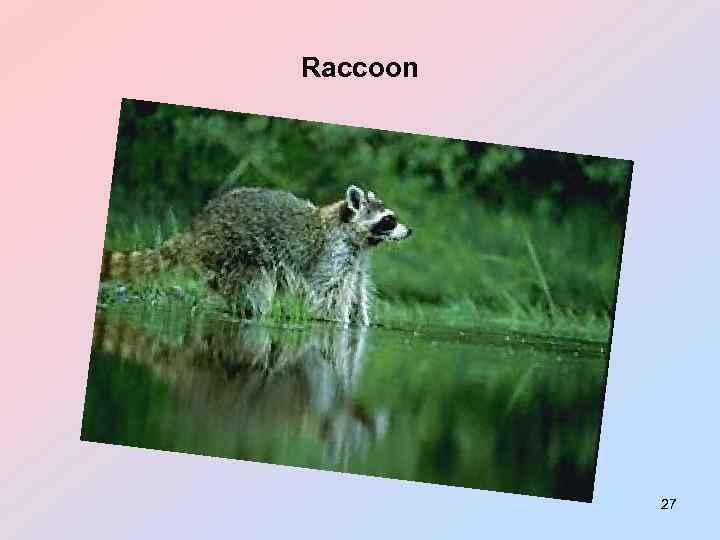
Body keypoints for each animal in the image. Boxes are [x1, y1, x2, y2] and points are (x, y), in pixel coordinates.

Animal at [100, 185, 412, 325]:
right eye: (389, 220)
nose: (410, 231)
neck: (359, 239)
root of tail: (198, 229)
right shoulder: (332, 254)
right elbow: (329, 293)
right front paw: (339, 323)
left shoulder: (356, 261)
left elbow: (357, 290)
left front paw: (362, 322)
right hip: (235, 250)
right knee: (255, 287)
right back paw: (251, 311)